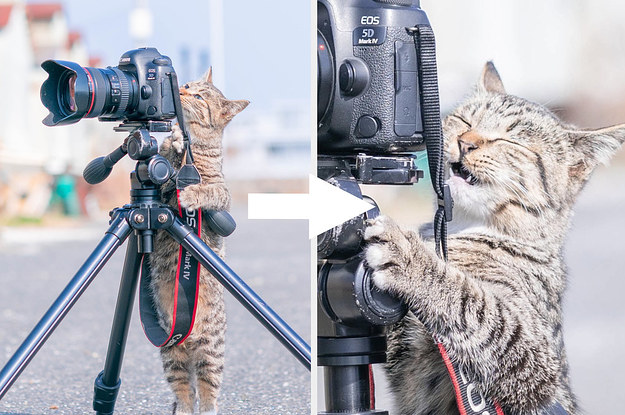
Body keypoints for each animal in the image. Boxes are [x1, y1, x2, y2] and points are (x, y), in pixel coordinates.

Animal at [149, 70, 249, 414]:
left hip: (211, 352)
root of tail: (189, 340)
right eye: (188, 86)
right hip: (171, 354)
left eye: (199, 96)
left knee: (207, 394)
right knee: (183, 392)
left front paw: (192, 193)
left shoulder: (222, 195)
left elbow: (208, 190)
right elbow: (165, 159)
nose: (179, 90)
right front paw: (174, 140)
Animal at [364, 62, 624, 415]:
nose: (466, 142)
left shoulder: (535, 365)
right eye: (465, 121)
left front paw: (409, 257)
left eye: (509, 140)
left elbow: (472, 302)